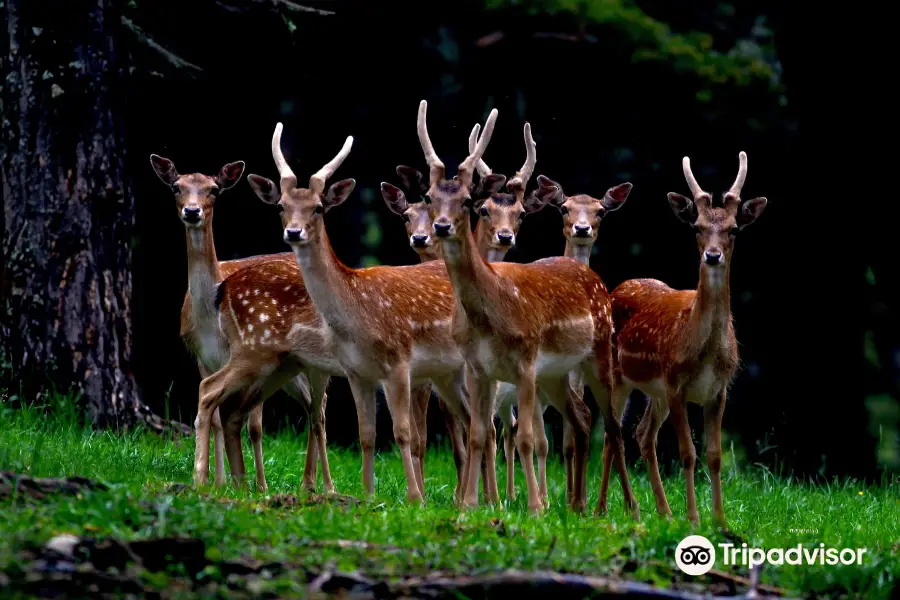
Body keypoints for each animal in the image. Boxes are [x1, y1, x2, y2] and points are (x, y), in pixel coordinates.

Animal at [149, 156, 326, 492]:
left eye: (214, 189)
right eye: (177, 187)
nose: (192, 211)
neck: (209, 318)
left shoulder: (243, 354)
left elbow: (254, 425)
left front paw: (259, 485)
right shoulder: (201, 357)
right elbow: (218, 416)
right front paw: (219, 481)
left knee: (317, 407)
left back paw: (311, 483)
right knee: (310, 404)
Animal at [241, 123, 492, 506]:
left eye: (318, 207)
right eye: (282, 205)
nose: (293, 232)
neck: (357, 319)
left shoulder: (398, 361)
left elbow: (402, 433)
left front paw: (415, 498)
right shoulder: (357, 372)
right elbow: (367, 434)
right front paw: (368, 494)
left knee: (485, 423)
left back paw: (489, 499)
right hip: (447, 373)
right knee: (470, 420)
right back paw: (477, 498)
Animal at [416, 98, 640, 516]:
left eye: (467, 202)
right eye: (428, 198)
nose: (440, 227)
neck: (490, 315)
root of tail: (595, 279)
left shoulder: (525, 362)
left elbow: (524, 439)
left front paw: (535, 506)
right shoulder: (478, 369)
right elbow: (478, 434)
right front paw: (470, 504)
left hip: (599, 355)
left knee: (613, 426)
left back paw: (624, 506)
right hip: (557, 373)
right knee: (580, 421)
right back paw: (578, 505)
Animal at [604, 151, 768, 524]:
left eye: (733, 228)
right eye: (697, 227)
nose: (713, 255)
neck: (703, 352)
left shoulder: (718, 390)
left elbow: (715, 455)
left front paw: (720, 519)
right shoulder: (676, 384)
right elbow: (687, 453)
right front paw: (694, 517)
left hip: (654, 392)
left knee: (641, 434)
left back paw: (662, 511)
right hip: (619, 376)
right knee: (612, 433)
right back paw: (611, 508)